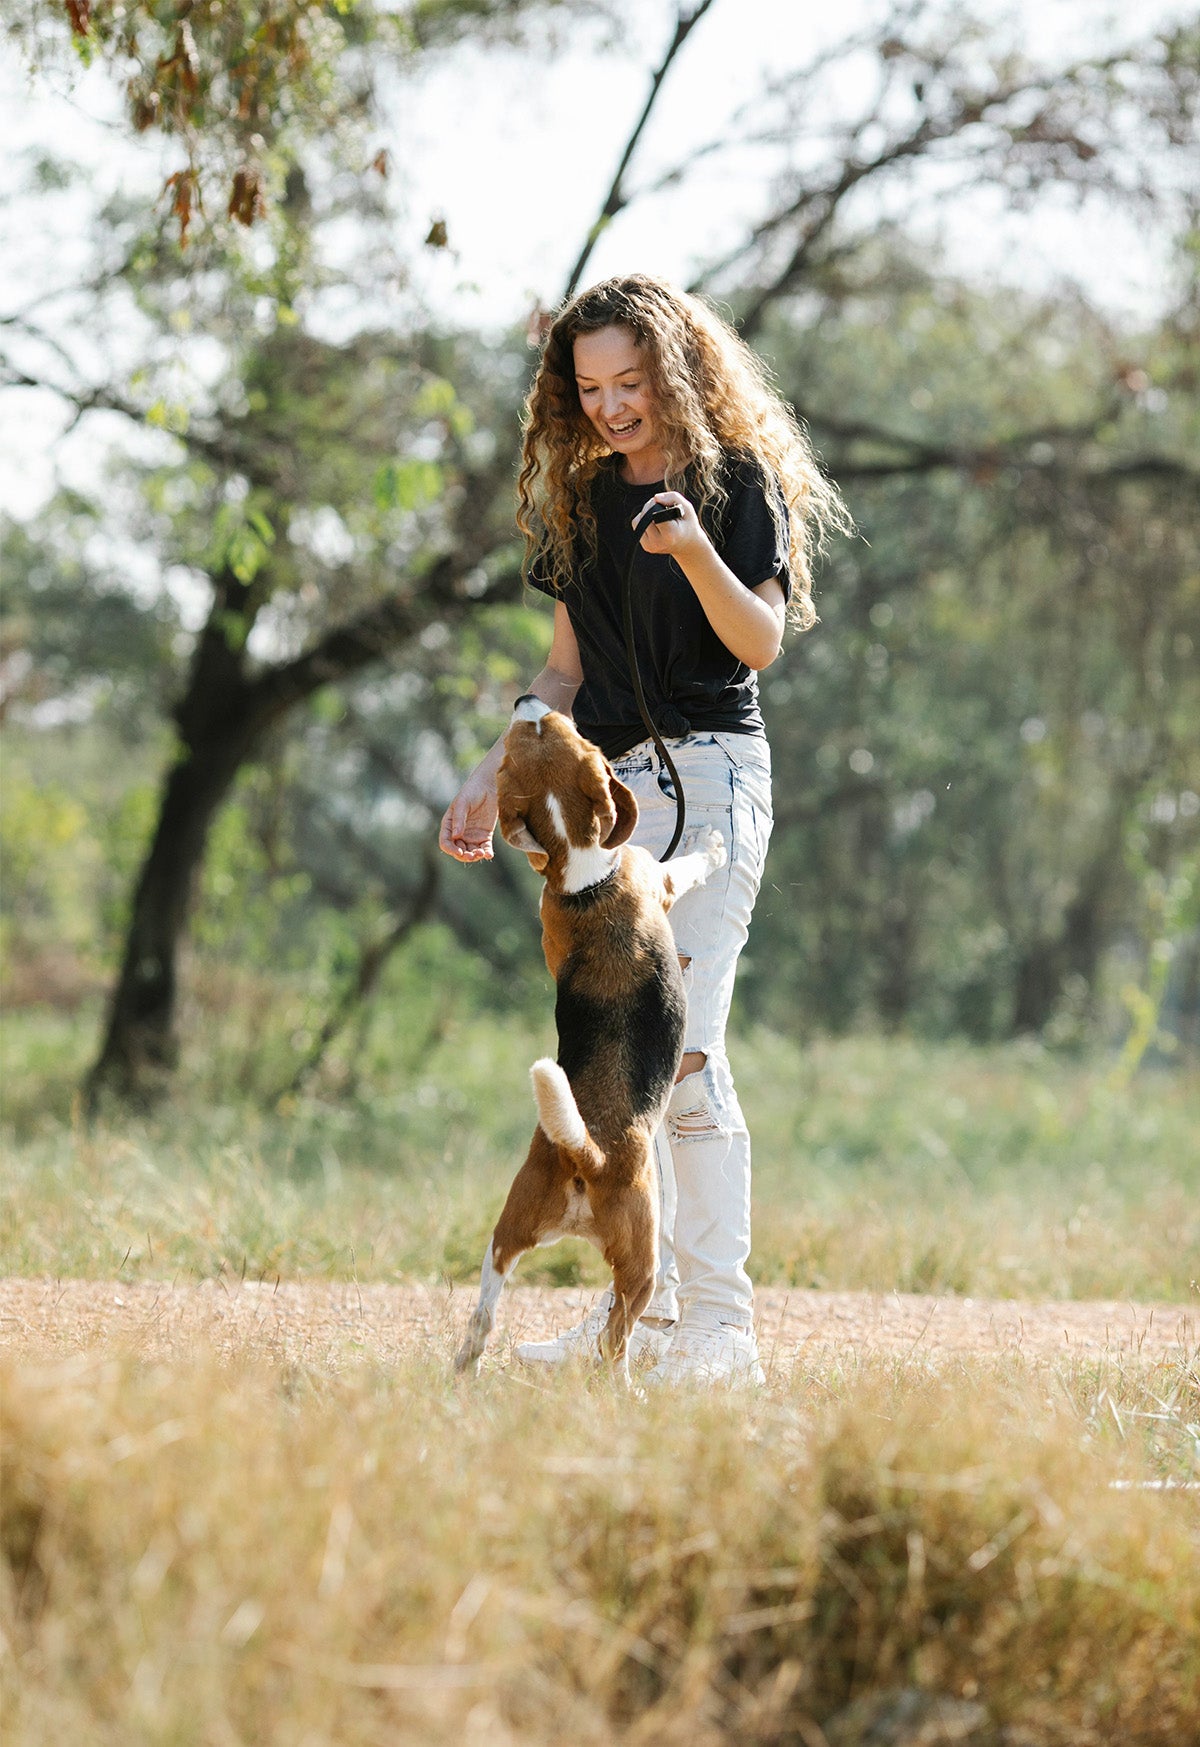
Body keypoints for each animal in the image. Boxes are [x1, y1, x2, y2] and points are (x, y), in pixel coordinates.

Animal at [457, 688, 723, 1383]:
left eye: (541, 730)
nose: (527, 697)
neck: (583, 877)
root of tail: (588, 1154)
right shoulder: (658, 878)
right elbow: (689, 863)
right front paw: (711, 840)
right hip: (641, 1265)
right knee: (614, 1340)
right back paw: (626, 1390)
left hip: (506, 1232)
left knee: (482, 1316)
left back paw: (464, 1370)